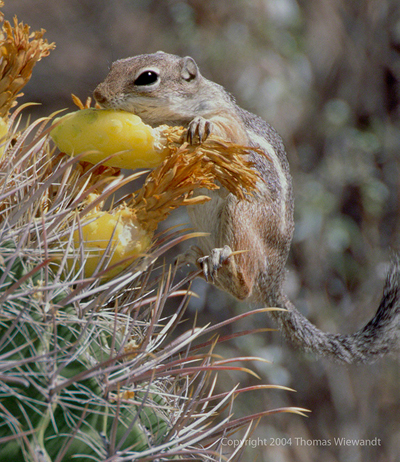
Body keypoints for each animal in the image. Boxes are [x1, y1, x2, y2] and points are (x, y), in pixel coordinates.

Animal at [94, 52, 400, 362]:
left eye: (147, 77)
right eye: (115, 65)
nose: (98, 95)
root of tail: (275, 277)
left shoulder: (227, 117)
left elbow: (226, 131)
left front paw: (201, 126)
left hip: (241, 214)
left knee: (245, 287)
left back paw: (224, 262)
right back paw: (196, 257)